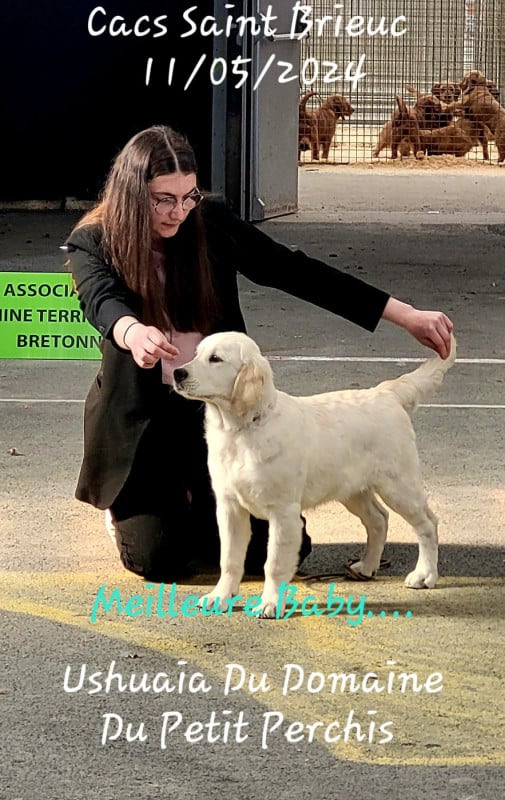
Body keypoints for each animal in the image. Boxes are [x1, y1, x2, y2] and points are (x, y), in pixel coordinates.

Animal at [173, 331, 457, 619]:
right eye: (197, 354)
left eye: (215, 358)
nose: (177, 373)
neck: (243, 430)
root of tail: (385, 392)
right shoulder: (229, 507)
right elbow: (229, 558)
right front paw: (220, 597)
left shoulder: (283, 512)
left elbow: (274, 563)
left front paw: (270, 603)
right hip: (352, 490)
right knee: (378, 519)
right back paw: (366, 566)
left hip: (398, 485)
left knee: (427, 524)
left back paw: (424, 575)